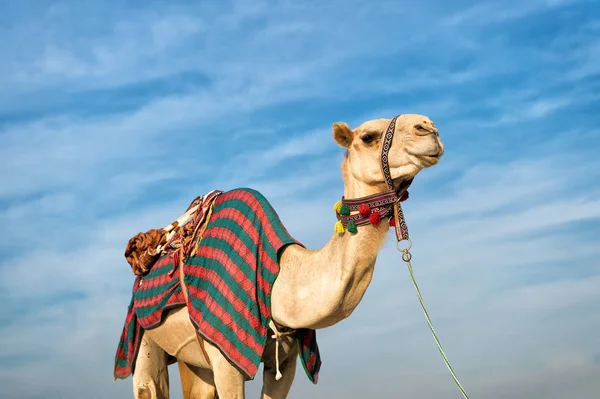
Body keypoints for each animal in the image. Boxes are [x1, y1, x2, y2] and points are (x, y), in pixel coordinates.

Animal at [129, 114, 442, 398]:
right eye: (368, 137)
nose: (429, 127)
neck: (280, 281)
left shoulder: (288, 359)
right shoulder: (225, 355)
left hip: (192, 358)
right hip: (142, 335)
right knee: (147, 385)